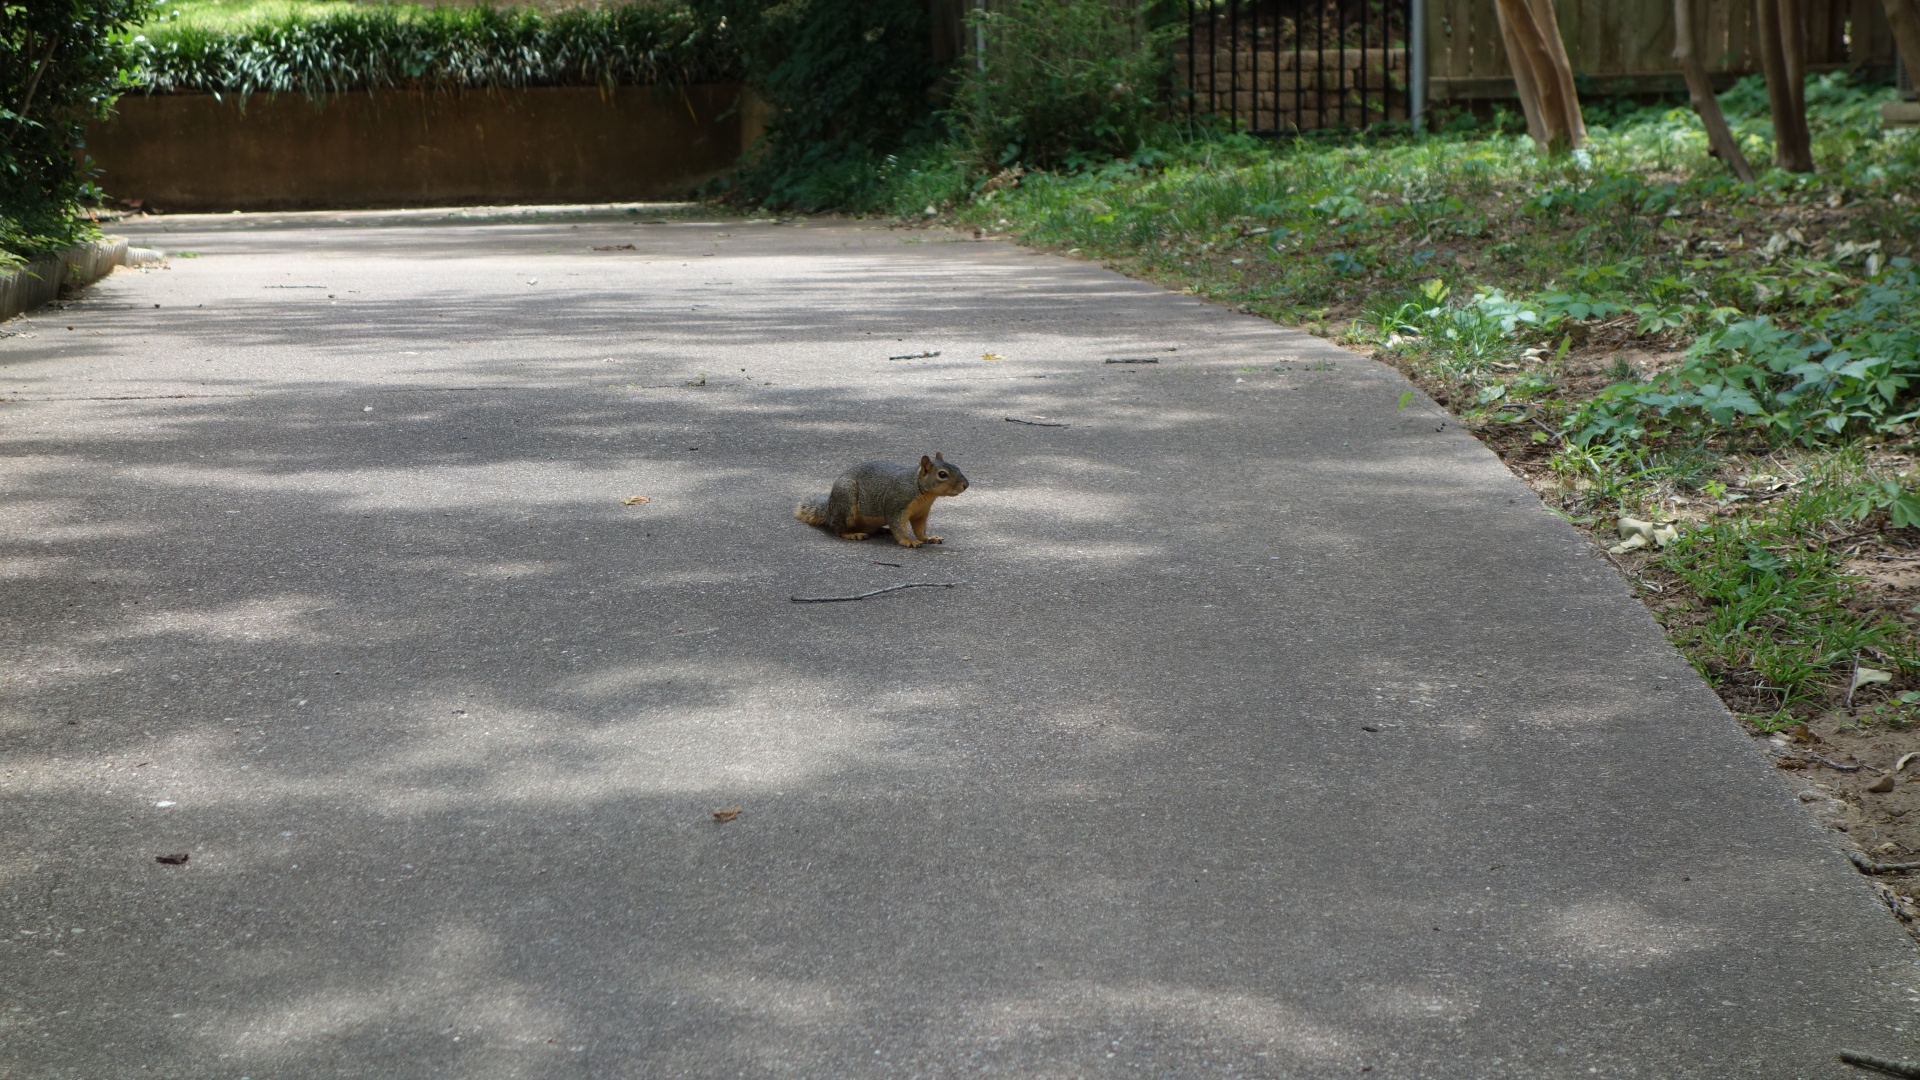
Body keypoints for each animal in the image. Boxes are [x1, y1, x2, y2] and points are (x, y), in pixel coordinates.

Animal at [798, 449, 975, 541]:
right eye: (942, 474)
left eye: (957, 467)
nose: (966, 485)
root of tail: (829, 508)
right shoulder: (896, 504)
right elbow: (898, 524)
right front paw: (909, 541)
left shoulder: (921, 513)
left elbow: (919, 529)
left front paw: (928, 538)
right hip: (845, 500)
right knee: (837, 529)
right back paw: (852, 534)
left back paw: (882, 531)